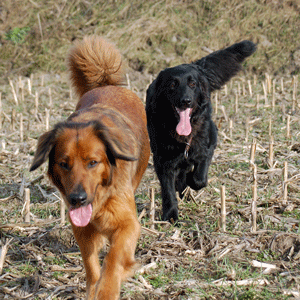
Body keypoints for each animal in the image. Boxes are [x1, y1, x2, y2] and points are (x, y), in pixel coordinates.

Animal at [30, 36, 150, 298]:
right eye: (63, 164)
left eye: (93, 162)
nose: (77, 199)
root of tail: (106, 84)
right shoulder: (82, 229)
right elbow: (91, 265)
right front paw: (94, 288)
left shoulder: (128, 224)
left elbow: (114, 259)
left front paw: (110, 287)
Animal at [145, 41, 255, 221]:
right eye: (172, 85)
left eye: (192, 84)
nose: (186, 101)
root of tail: (196, 65)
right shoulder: (163, 159)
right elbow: (168, 190)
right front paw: (171, 215)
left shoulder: (208, 144)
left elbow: (199, 178)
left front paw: (191, 182)